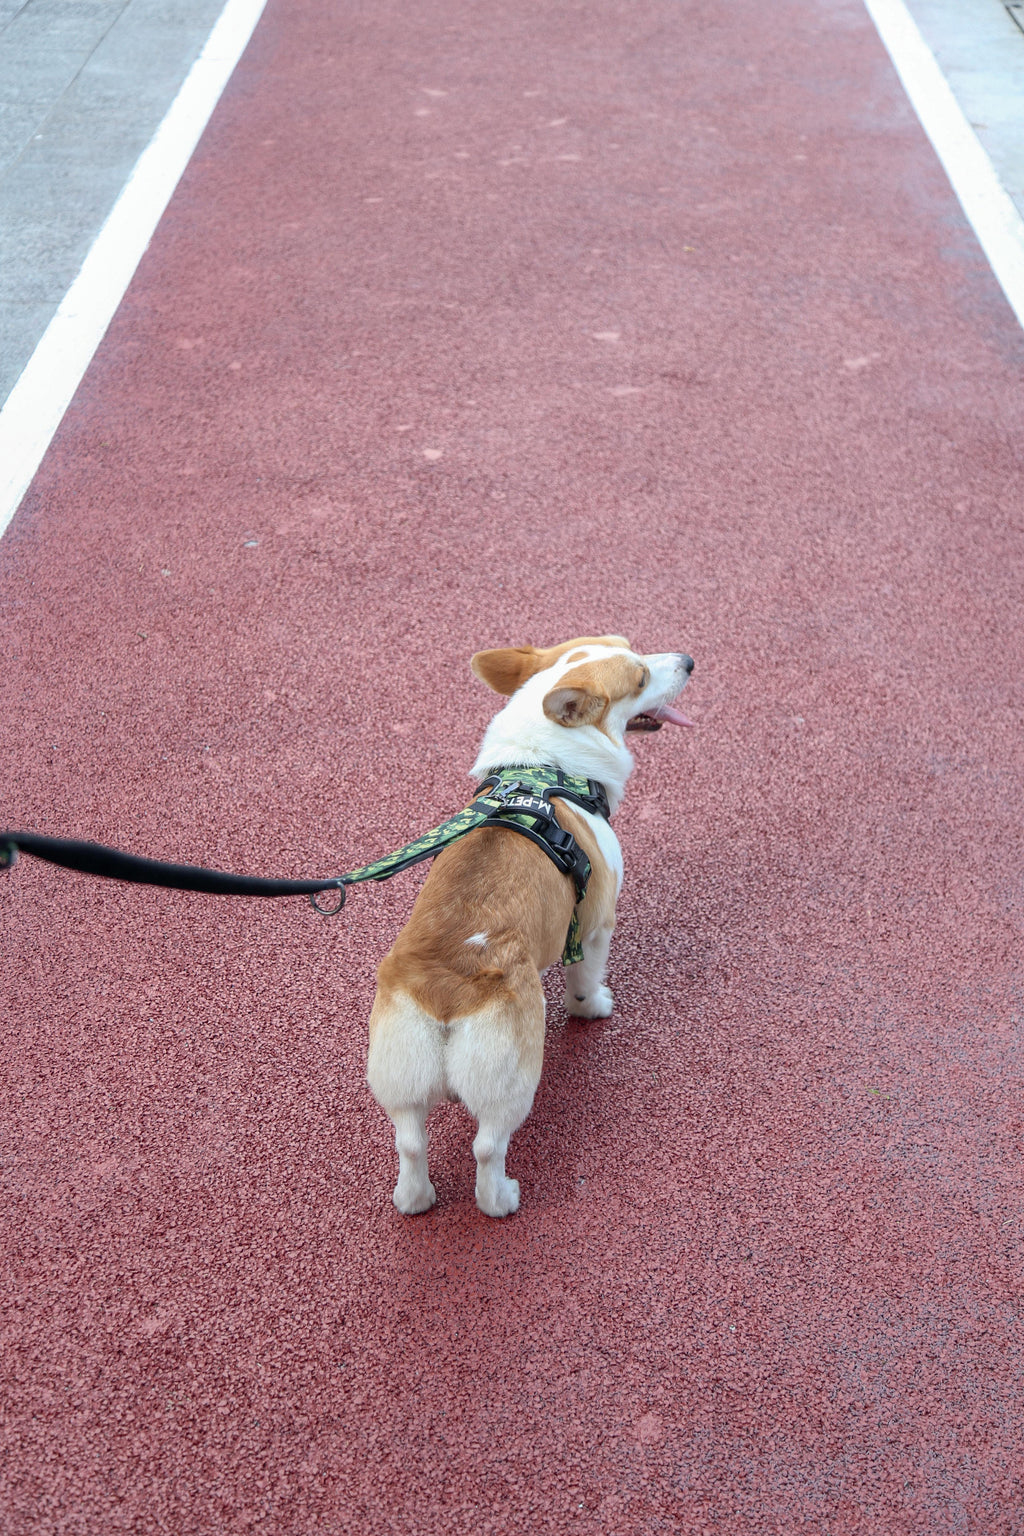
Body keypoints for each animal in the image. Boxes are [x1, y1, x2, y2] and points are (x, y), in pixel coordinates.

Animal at [363, 632, 693, 1210]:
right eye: (639, 679)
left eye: (628, 645)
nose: (690, 662)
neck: (543, 764)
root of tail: (446, 989)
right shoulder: (596, 923)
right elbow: (584, 980)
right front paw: (594, 1007)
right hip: (512, 1078)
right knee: (487, 1147)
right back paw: (501, 1199)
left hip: (399, 1077)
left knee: (408, 1142)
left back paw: (414, 1199)